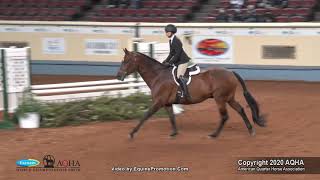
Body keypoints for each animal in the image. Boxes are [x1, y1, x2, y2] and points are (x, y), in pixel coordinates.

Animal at [116, 48, 266, 139]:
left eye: (126, 61)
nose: (118, 76)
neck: (158, 75)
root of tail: (230, 72)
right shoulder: (167, 103)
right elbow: (172, 117)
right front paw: (174, 133)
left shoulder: (158, 102)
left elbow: (145, 116)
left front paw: (132, 133)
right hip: (228, 98)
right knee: (240, 110)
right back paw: (251, 130)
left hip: (220, 99)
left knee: (224, 116)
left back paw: (214, 135)